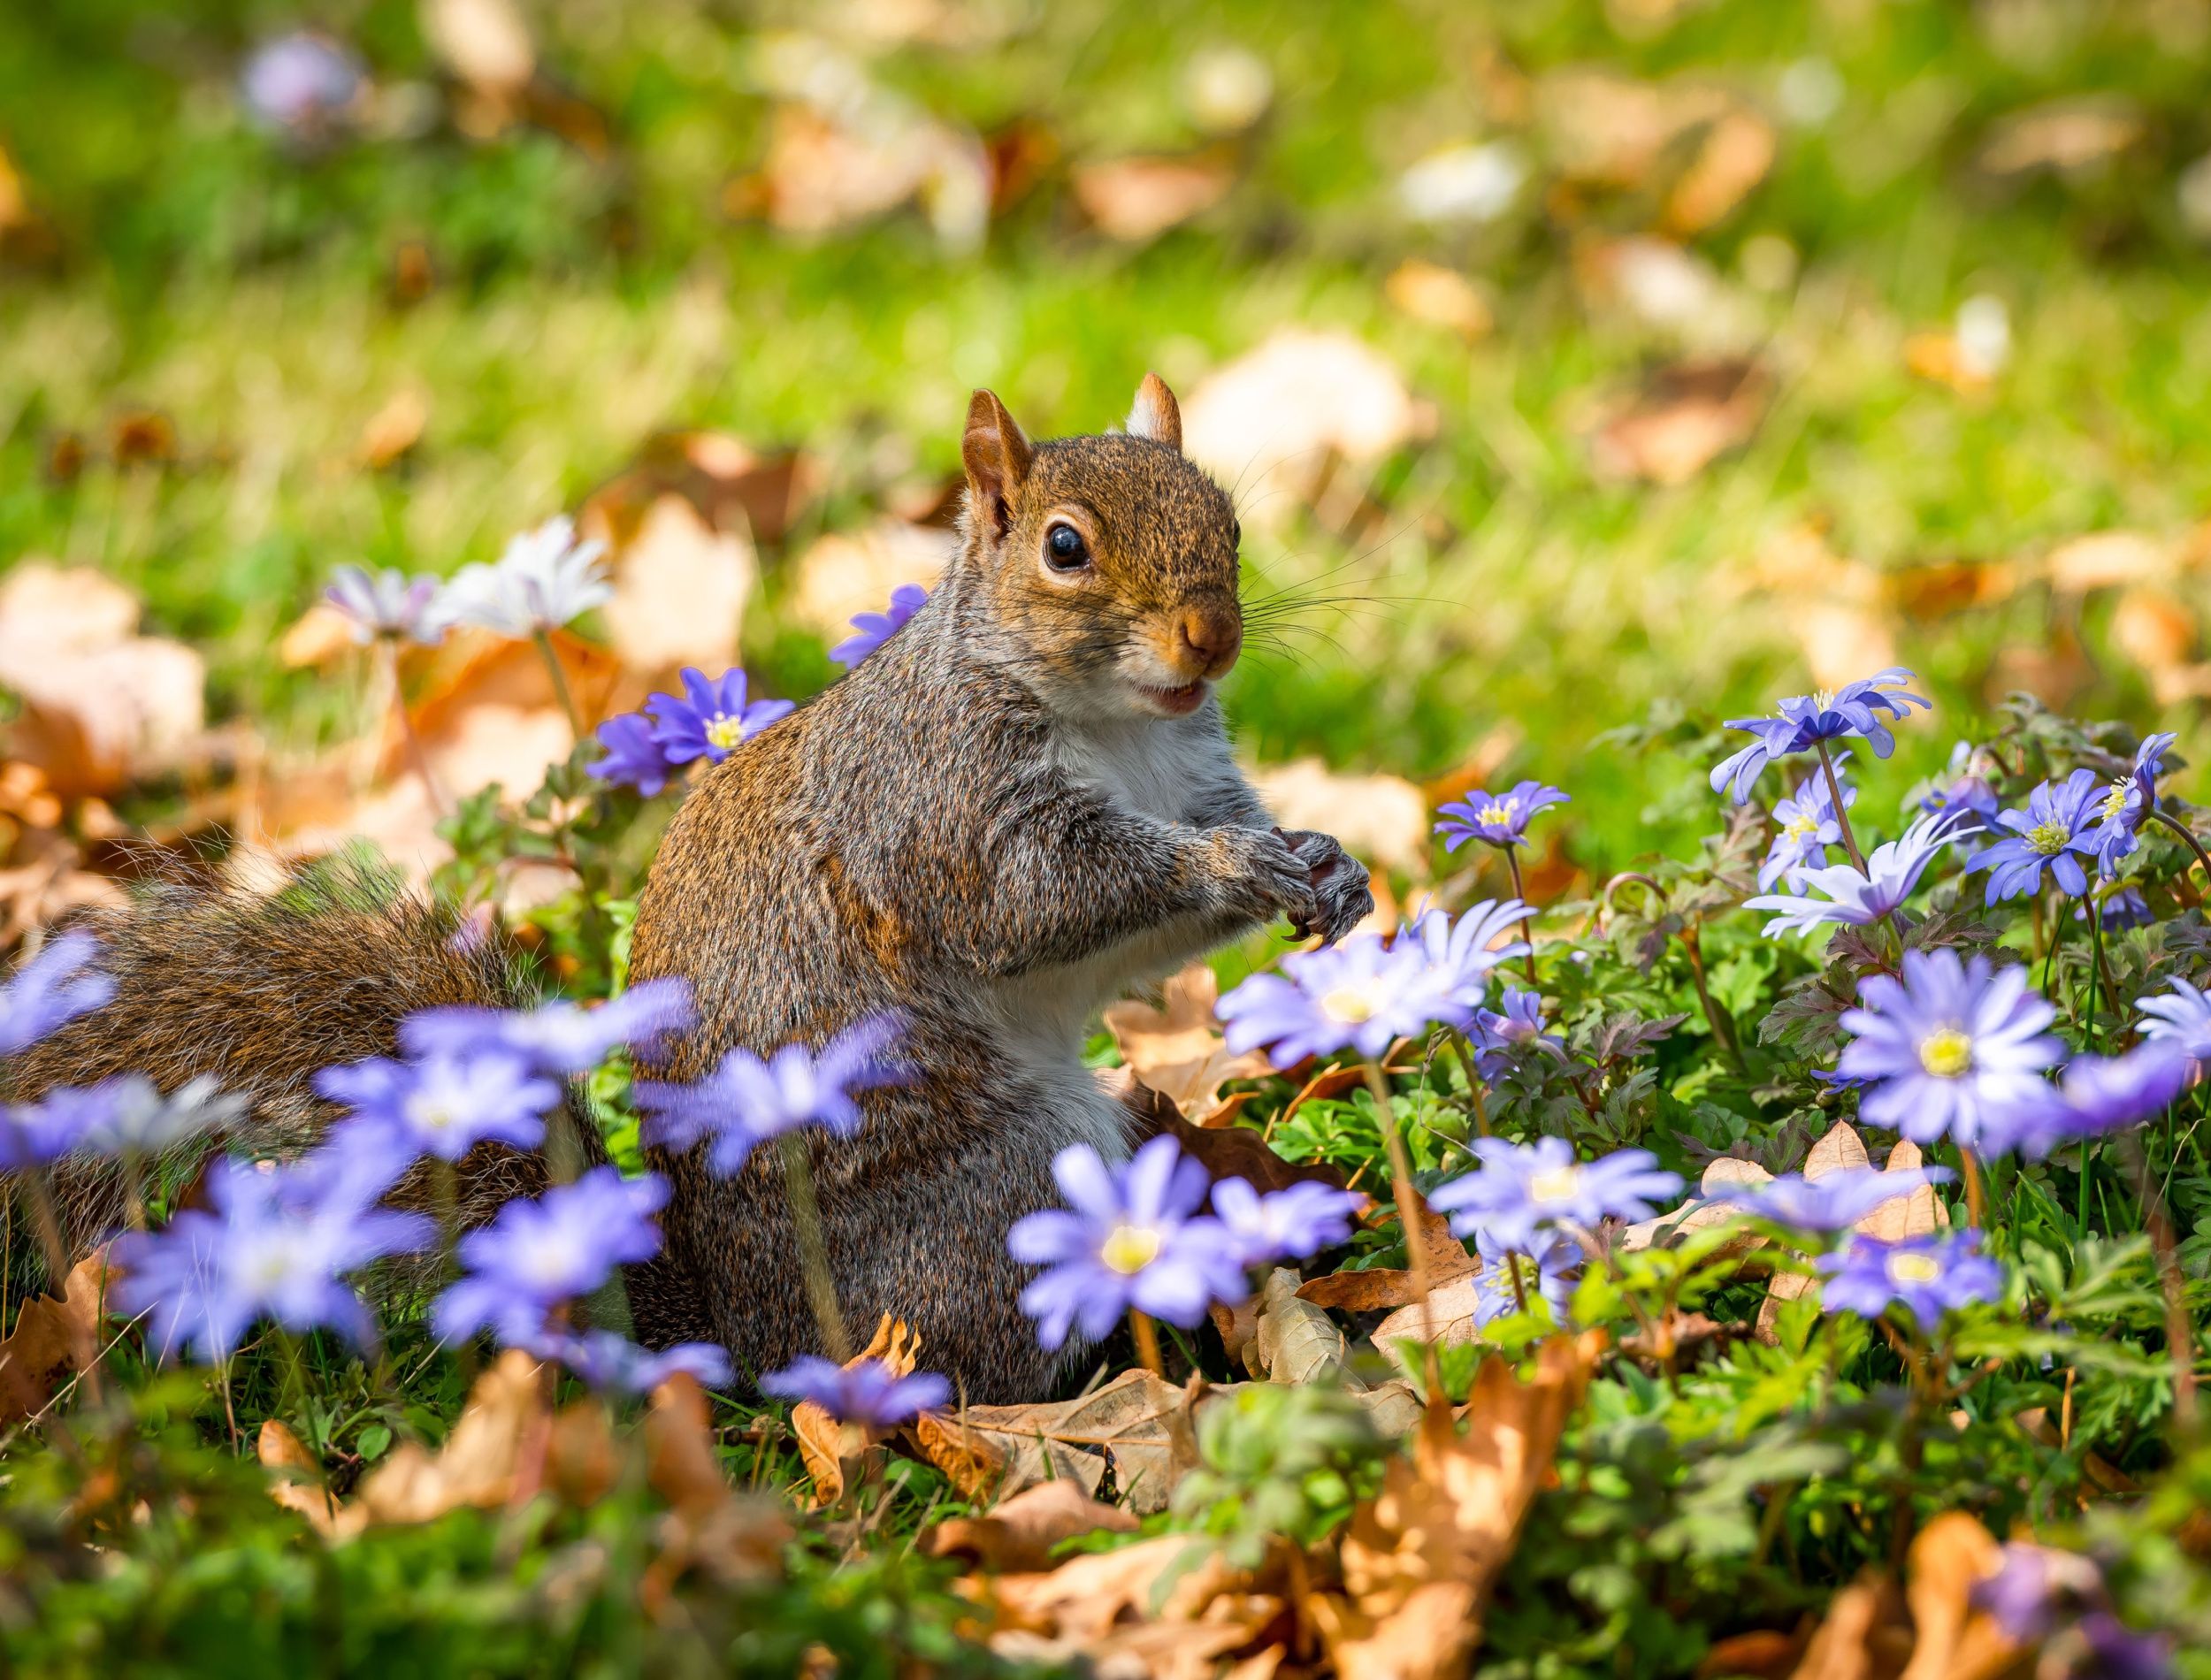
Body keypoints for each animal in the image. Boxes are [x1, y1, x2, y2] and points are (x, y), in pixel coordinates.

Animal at [8, 378, 1371, 1406]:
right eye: (1065, 547)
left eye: (1227, 522)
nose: (1211, 638)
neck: (1119, 726)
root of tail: (744, 1341)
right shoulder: (945, 806)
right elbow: (1043, 902)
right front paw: (1233, 864)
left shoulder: (1187, 772)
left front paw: (1326, 863)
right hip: (1005, 1183)